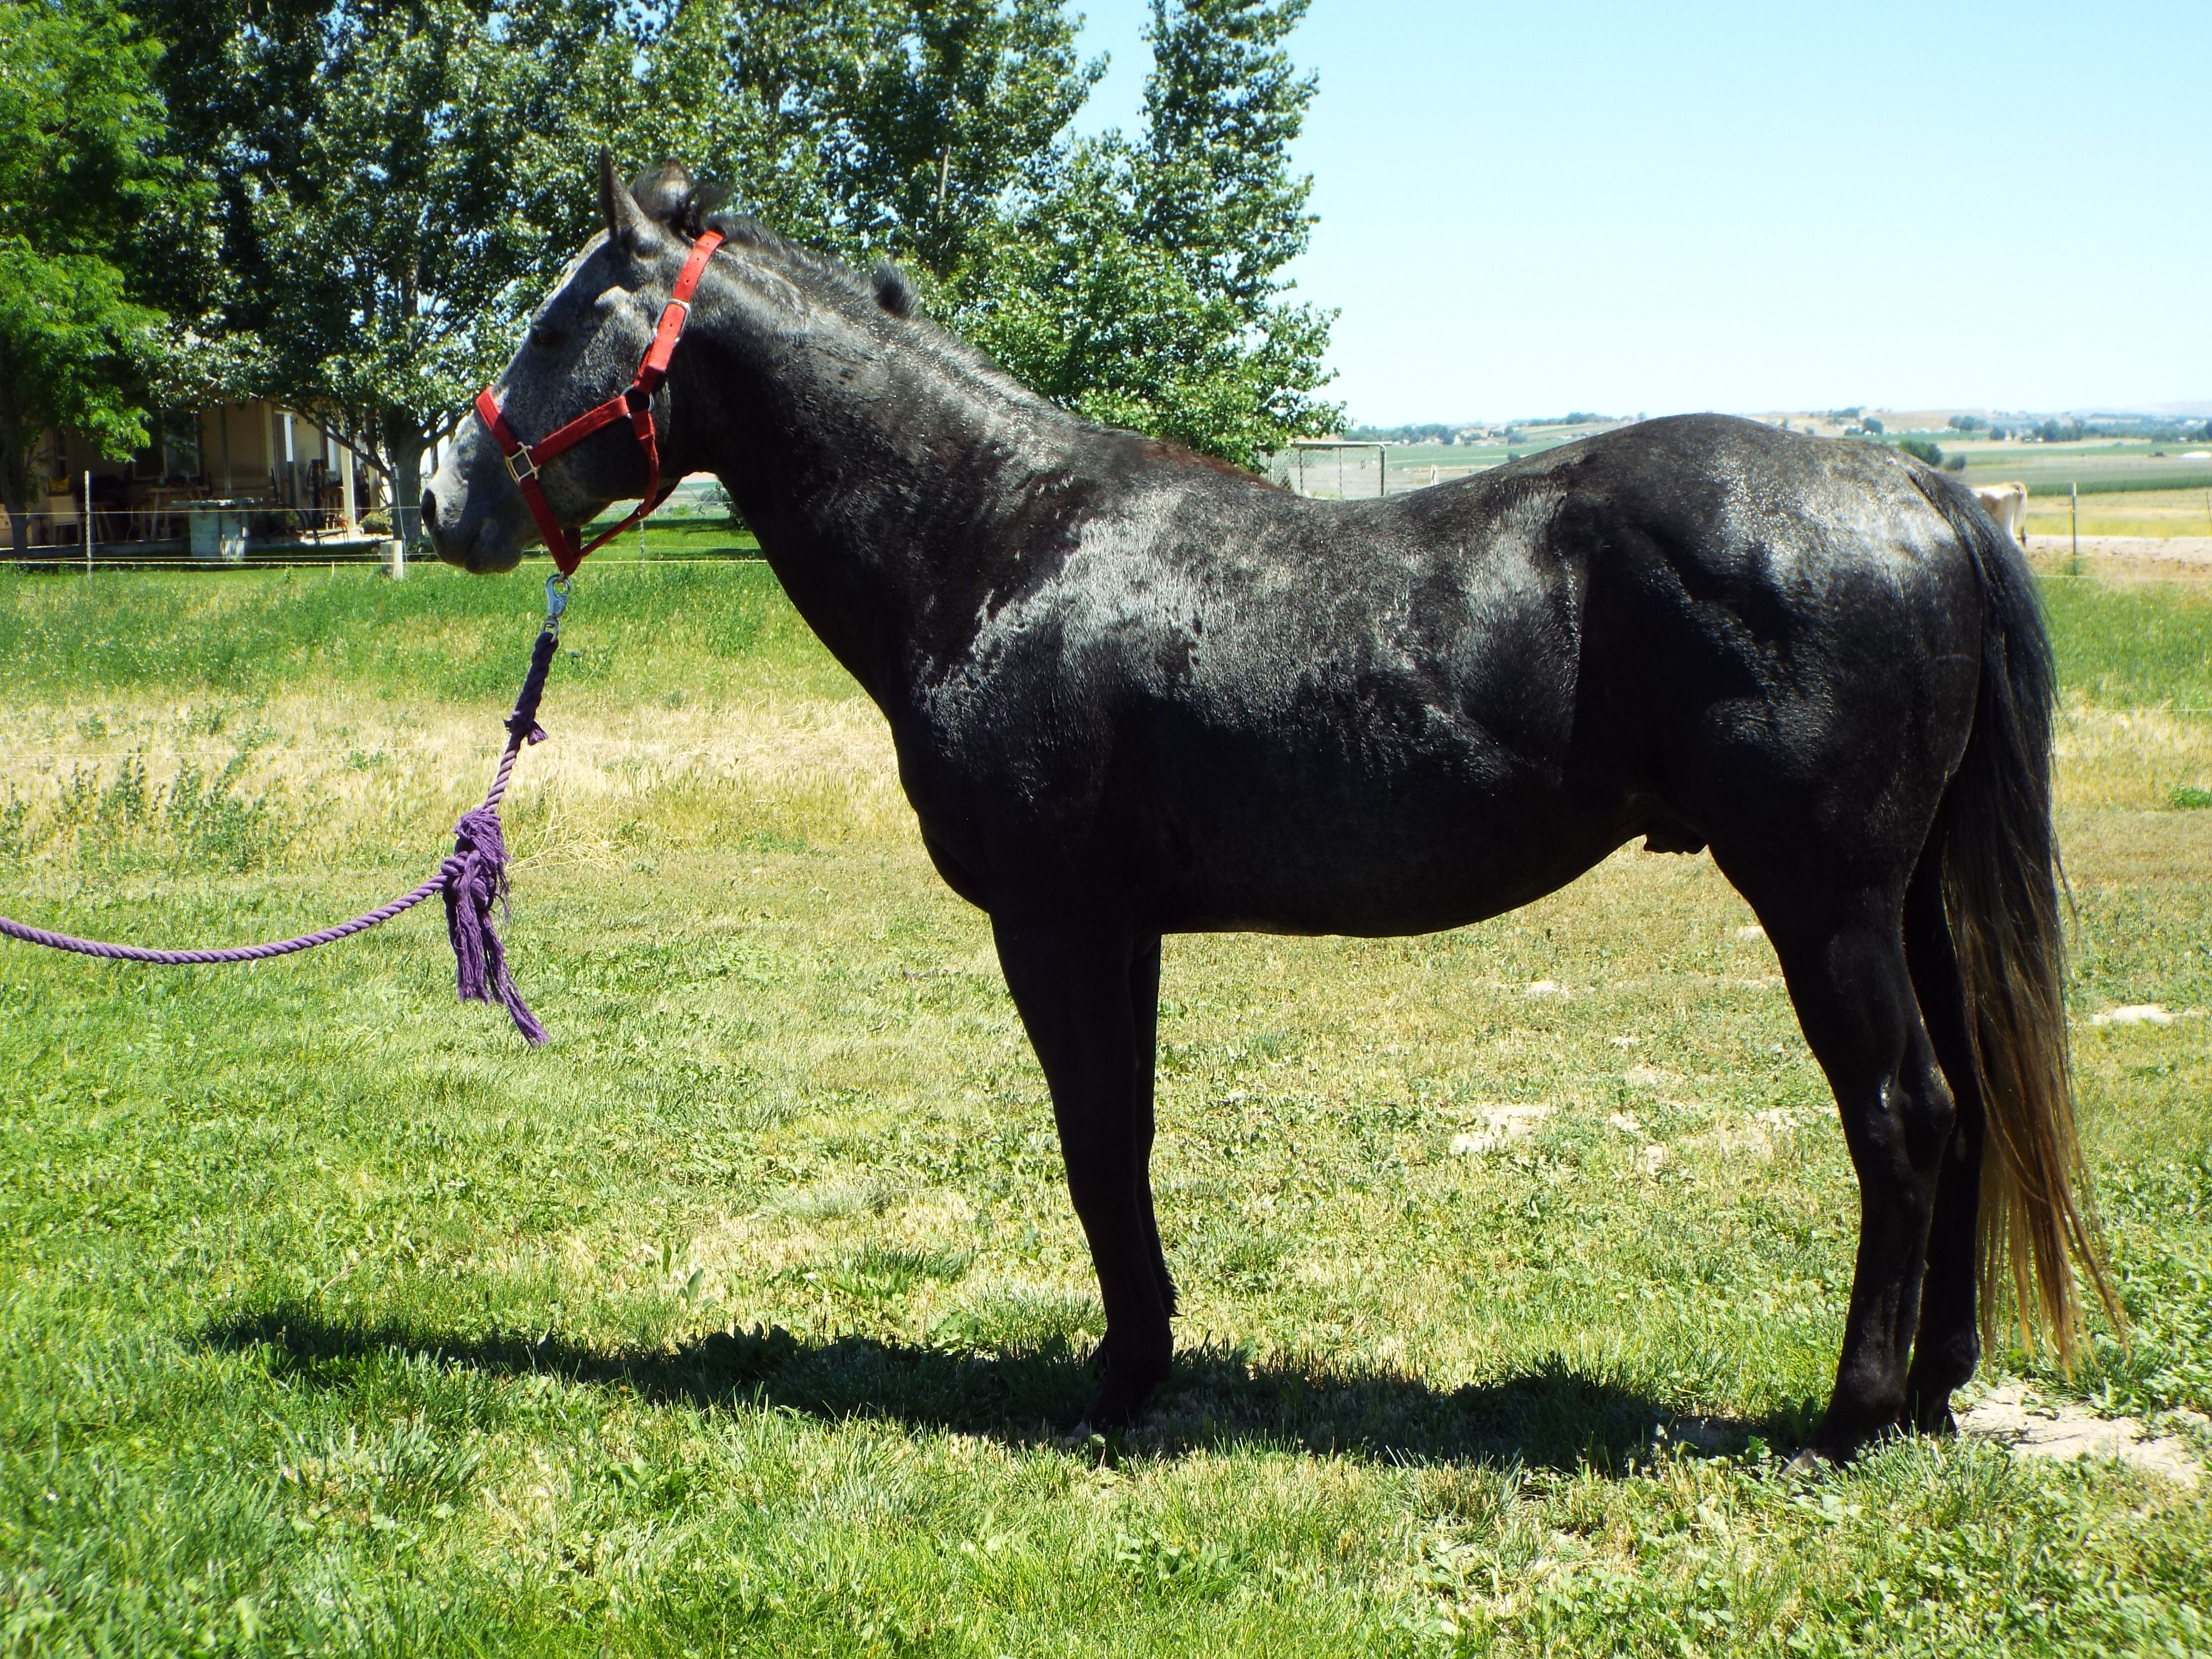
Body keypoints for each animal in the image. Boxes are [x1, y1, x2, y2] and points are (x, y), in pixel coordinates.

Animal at [426, 155, 2116, 1462]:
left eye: (568, 313)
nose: (446, 498)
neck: (997, 540)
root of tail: (1916, 493)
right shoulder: (1127, 928)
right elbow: (1129, 1135)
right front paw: (1150, 1358)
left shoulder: (1054, 920)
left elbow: (1093, 1141)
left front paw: (1114, 1389)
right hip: (1907, 901)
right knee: (1969, 1109)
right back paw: (1936, 1393)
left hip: (1826, 901)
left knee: (1902, 1115)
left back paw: (1852, 1414)